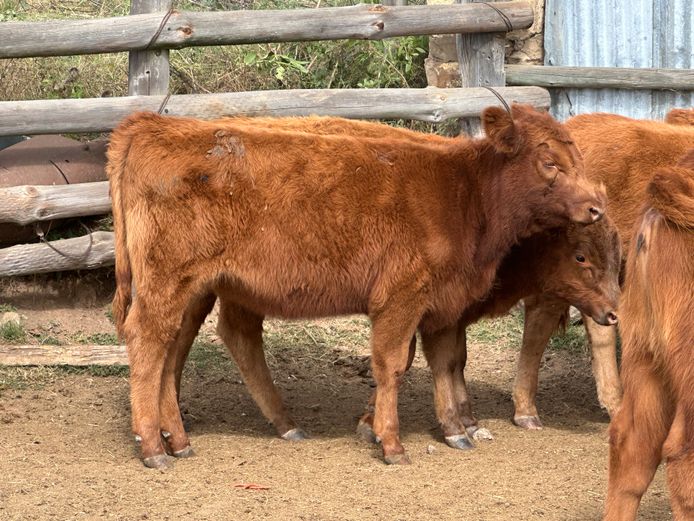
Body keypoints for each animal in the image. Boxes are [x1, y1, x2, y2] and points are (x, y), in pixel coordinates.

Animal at [106, 105, 608, 468]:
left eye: (580, 159)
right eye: (549, 162)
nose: (595, 207)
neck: (462, 194)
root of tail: (154, 125)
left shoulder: (443, 304)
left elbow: (445, 362)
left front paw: (455, 430)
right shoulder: (401, 297)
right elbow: (392, 365)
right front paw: (390, 441)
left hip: (199, 288)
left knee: (183, 347)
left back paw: (188, 437)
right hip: (168, 283)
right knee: (150, 344)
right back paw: (154, 448)